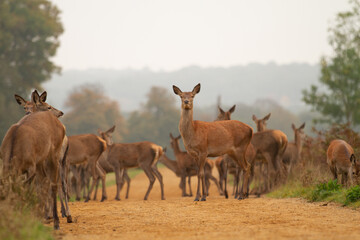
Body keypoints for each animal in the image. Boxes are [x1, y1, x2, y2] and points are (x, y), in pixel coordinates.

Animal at [1, 90, 71, 229]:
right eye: (24, 107)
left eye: (49, 106)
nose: (60, 112)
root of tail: (62, 127)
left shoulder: (31, 166)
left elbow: (33, 190)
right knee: (52, 185)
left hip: (56, 157)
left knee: (57, 185)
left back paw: (60, 219)